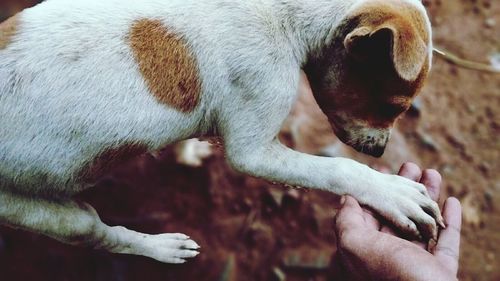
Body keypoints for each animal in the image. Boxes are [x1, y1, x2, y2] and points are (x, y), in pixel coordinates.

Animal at [0, 0, 446, 262]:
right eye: (393, 107)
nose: (379, 151)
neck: (284, 12)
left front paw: (191, 152)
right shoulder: (253, 152)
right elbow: (340, 169)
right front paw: (391, 192)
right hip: (52, 217)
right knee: (103, 235)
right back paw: (162, 248)